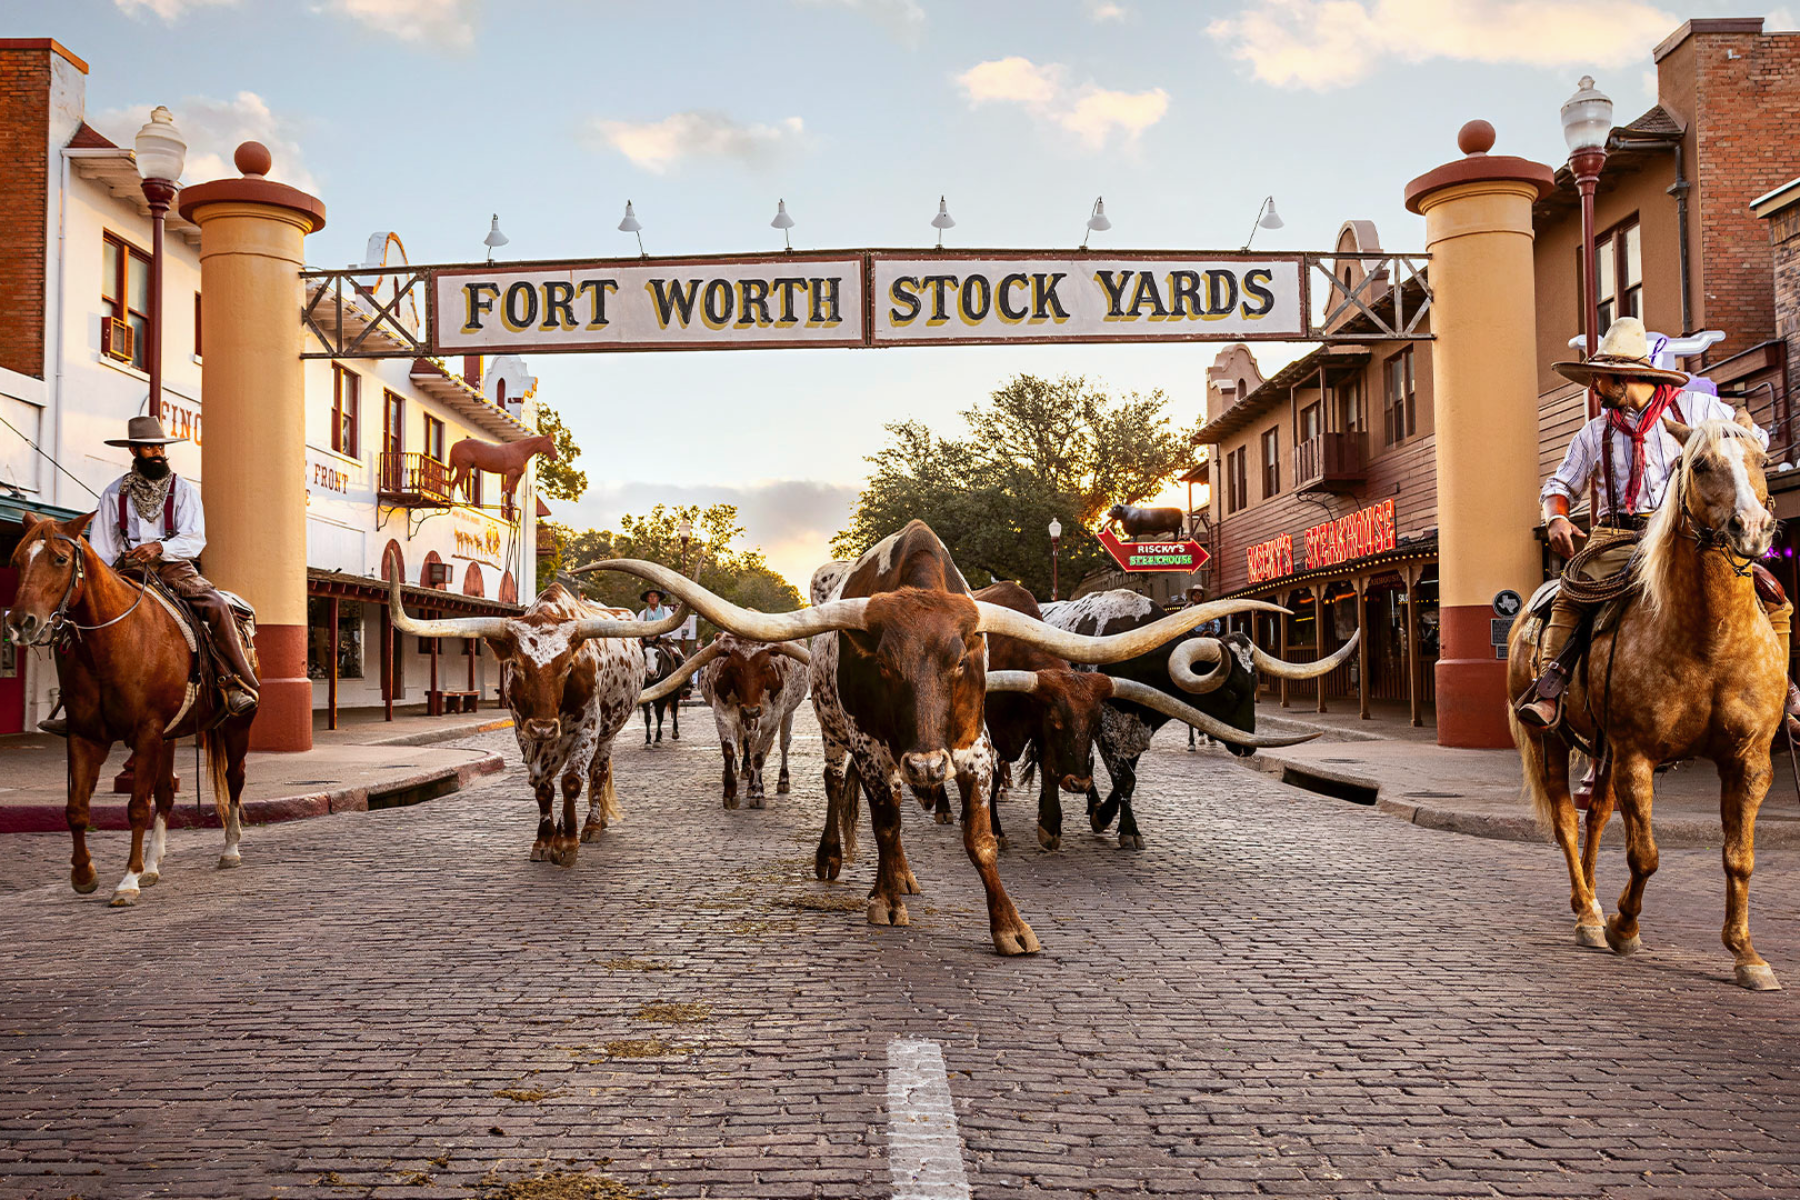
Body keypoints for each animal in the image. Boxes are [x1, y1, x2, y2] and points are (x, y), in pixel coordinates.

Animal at [2, 510, 253, 906]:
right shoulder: (86, 735)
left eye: (60, 559)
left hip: (236, 726)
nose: (20, 622)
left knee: (234, 779)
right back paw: (152, 864)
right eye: (16, 561)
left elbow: (136, 807)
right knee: (165, 792)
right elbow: (77, 809)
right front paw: (84, 874)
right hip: (170, 736)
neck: (112, 643)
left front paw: (127, 881)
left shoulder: (146, 733)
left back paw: (230, 850)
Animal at [1504, 415, 1785, 993]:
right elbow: (1645, 854)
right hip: (1549, 741)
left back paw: (1588, 900)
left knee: (1595, 816)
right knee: (1566, 820)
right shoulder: (1637, 756)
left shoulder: (1750, 762)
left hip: (1603, 750)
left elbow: (1739, 858)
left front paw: (1746, 954)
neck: (1710, 638)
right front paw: (1623, 926)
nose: (1752, 527)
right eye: (1700, 465)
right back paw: (1589, 914)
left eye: (1761, 459)